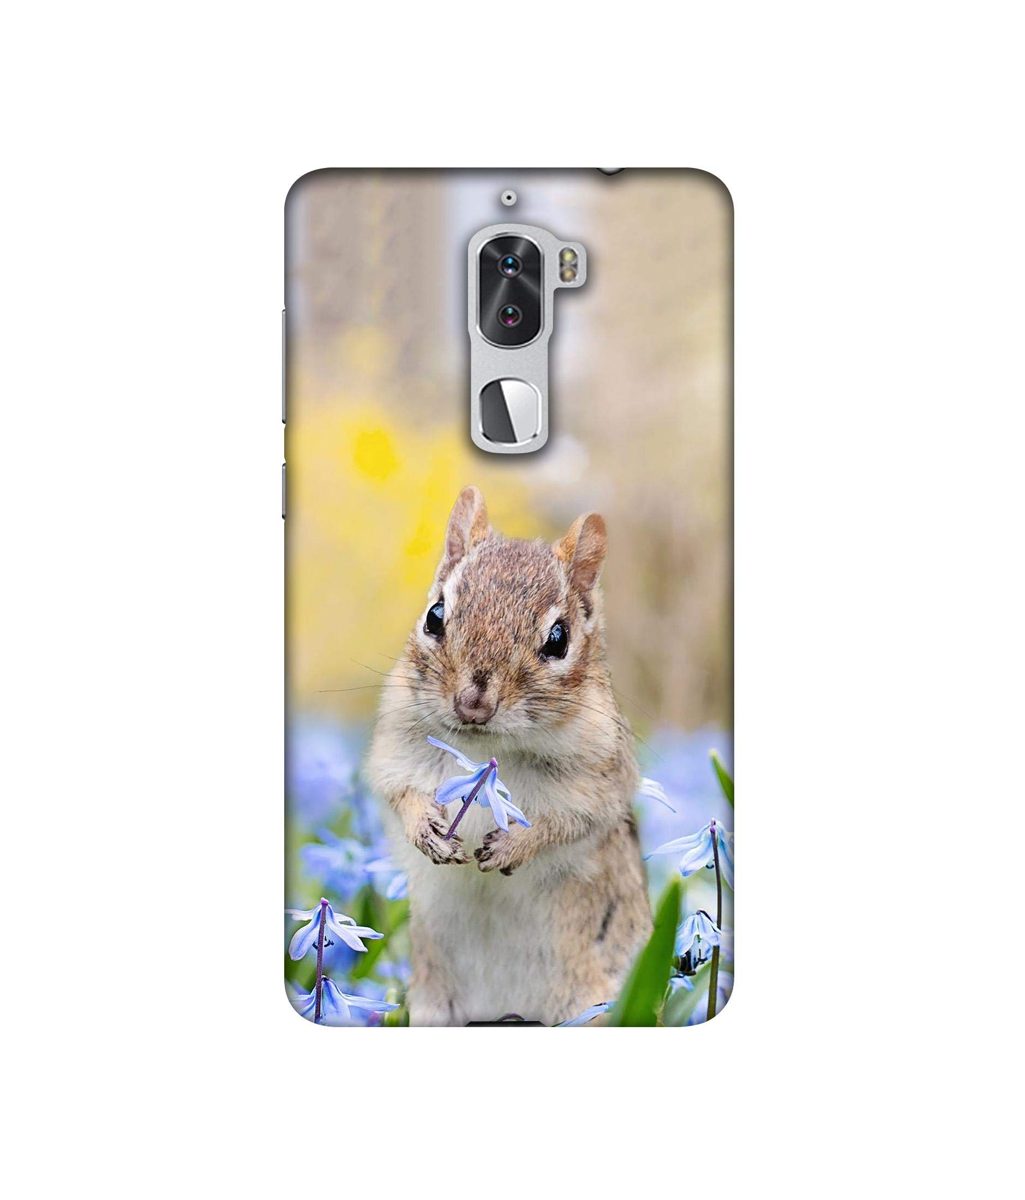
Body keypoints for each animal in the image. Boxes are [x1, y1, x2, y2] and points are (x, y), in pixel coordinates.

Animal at [366, 485, 652, 1025]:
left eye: (559, 639)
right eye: (435, 616)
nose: (472, 703)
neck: (488, 750)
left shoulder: (599, 780)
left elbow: (564, 823)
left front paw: (512, 846)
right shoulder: (396, 750)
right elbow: (401, 794)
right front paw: (428, 832)